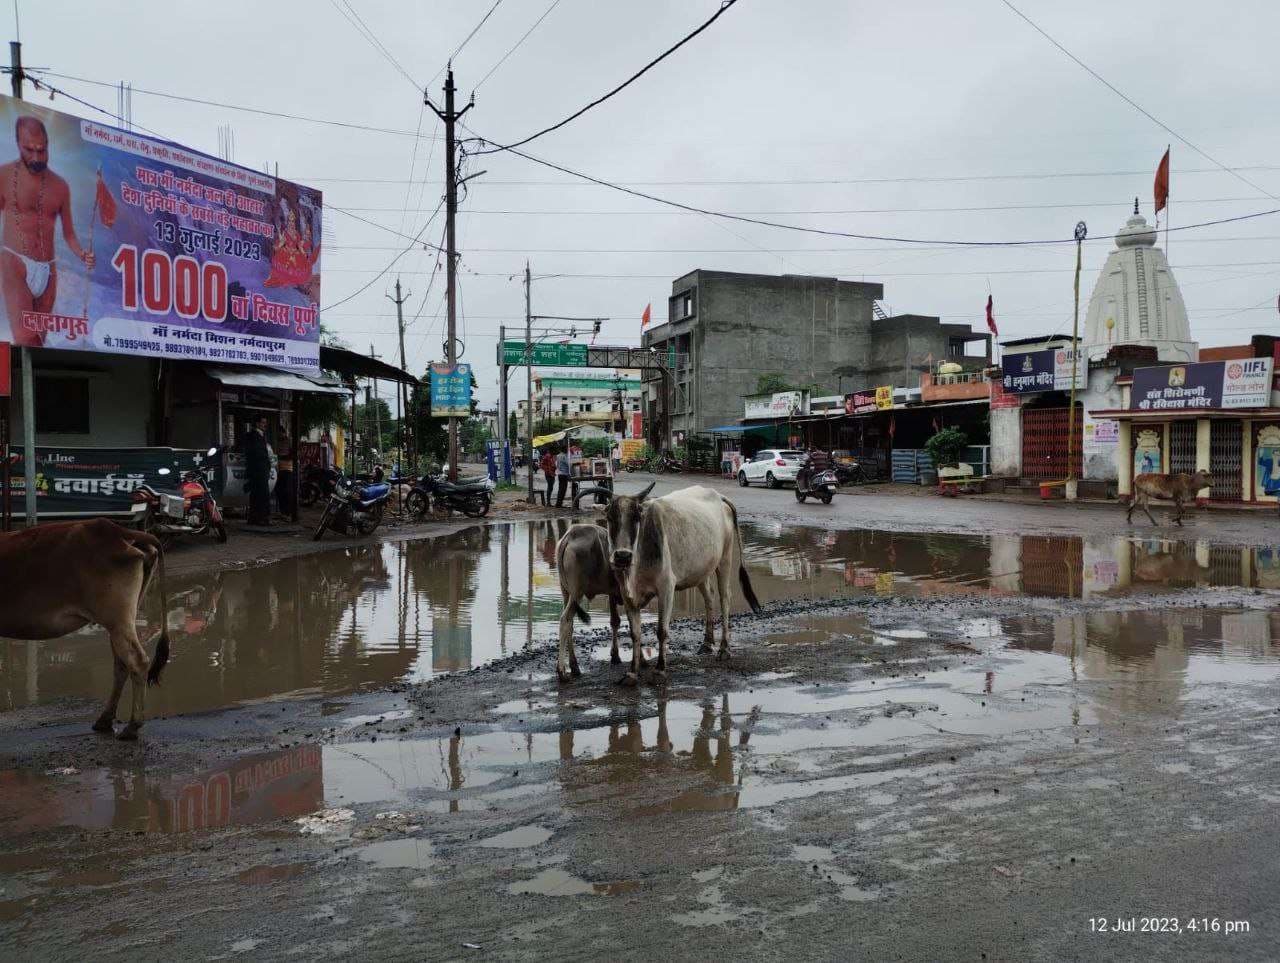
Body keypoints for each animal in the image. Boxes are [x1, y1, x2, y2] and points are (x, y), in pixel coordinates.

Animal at [0, 519, 171, 737]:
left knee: (137, 661)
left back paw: (133, 725)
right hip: (121, 622)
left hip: (118, 619)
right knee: (122, 664)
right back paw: (105, 720)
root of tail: (114, 529)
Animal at [558, 522, 645, 681]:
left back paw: (574, 666)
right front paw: (641, 659)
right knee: (565, 621)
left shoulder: (612, 593)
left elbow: (615, 621)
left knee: (570, 625)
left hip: (566, 593)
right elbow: (634, 625)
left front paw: (615, 655)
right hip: (576, 593)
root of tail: (569, 536)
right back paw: (561, 670)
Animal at [599, 481, 757, 686]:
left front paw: (660, 669)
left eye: (637, 517)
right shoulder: (627, 596)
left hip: (725, 559)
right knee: (709, 597)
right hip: (701, 569)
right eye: (610, 517)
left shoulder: (666, 589)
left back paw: (724, 649)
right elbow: (635, 633)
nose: (622, 556)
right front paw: (632, 672)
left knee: (725, 599)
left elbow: (661, 631)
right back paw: (707, 643)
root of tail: (717, 494)